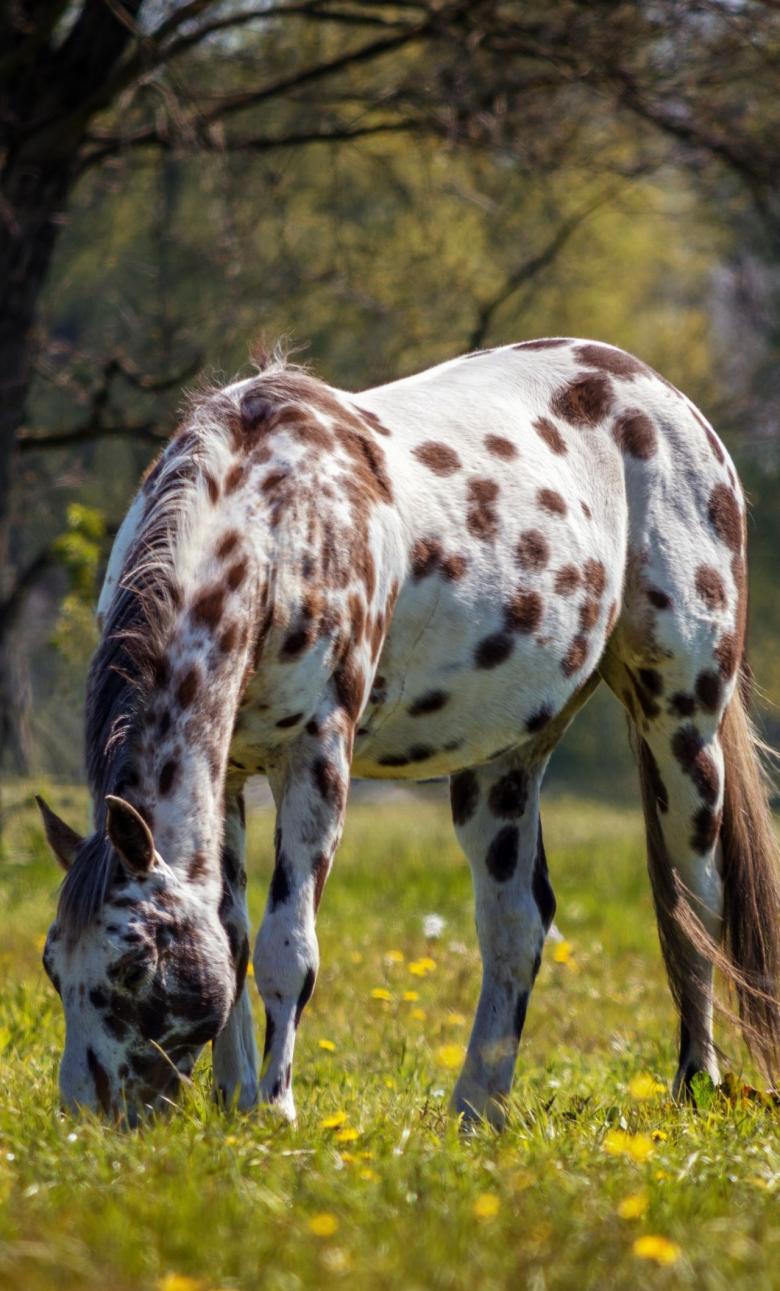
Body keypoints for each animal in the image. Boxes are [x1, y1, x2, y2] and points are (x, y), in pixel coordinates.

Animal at [38, 338, 780, 1125]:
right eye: (53, 963)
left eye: (134, 963)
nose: (86, 1118)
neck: (277, 523)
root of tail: (664, 396)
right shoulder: (230, 769)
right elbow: (230, 939)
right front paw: (235, 1102)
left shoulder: (316, 757)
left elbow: (286, 949)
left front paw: (276, 1109)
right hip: (504, 759)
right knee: (517, 924)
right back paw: (476, 1109)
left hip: (682, 728)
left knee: (694, 909)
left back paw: (693, 1084)